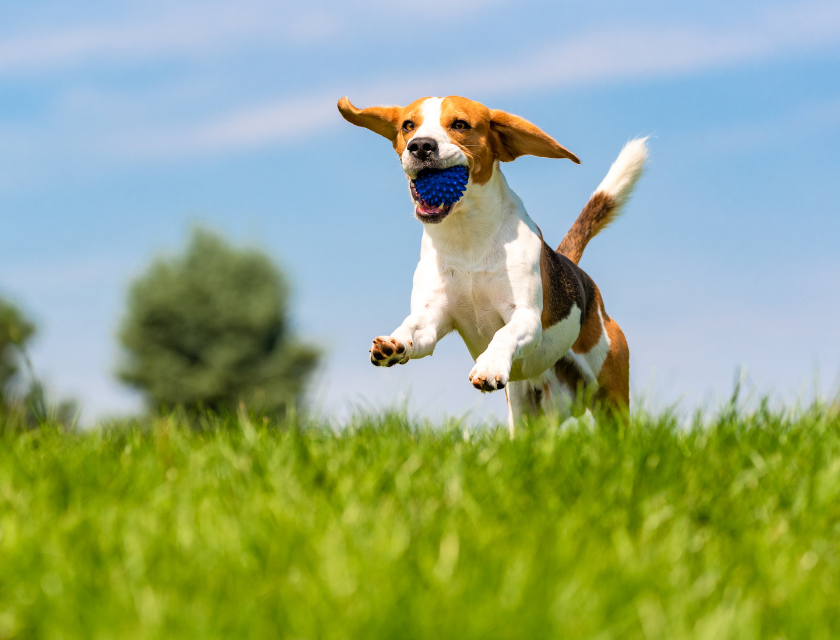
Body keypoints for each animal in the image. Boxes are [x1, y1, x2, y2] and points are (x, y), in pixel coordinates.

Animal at [338, 95, 648, 436]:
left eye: (460, 124)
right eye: (408, 125)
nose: (421, 146)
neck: (466, 237)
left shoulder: (525, 317)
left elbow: (504, 334)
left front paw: (489, 366)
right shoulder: (432, 317)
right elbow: (413, 328)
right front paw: (393, 344)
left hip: (611, 397)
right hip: (525, 409)